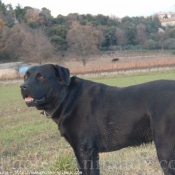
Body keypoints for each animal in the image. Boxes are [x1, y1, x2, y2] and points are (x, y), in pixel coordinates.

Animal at [20, 64, 175, 175]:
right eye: (25, 77)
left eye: (41, 77)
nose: (22, 86)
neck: (66, 97)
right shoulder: (92, 152)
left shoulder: (83, 150)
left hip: (165, 149)